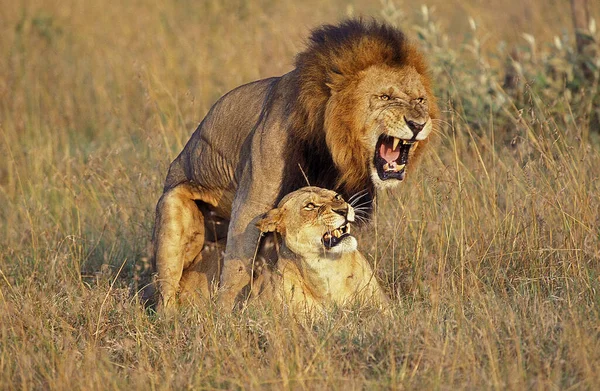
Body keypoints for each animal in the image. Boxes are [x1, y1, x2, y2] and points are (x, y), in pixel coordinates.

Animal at [152, 18, 438, 314]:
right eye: (384, 97)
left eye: (420, 100)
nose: (418, 124)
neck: (330, 146)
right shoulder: (251, 204)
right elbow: (237, 266)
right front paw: (227, 314)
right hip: (172, 214)